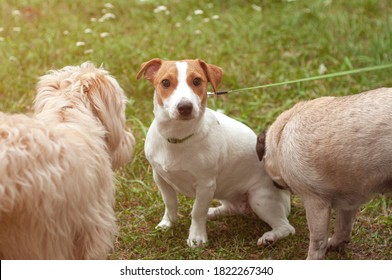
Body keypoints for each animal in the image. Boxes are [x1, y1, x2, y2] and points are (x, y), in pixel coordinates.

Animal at [136, 58, 292, 247]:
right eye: (165, 82)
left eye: (197, 81)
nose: (185, 107)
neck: (178, 138)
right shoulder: (160, 177)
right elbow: (170, 203)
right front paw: (168, 223)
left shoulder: (206, 185)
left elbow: (198, 211)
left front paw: (196, 237)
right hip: (225, 191)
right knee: (230, 208)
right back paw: (213, 212)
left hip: (260, 197)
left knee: (287, 227)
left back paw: (270, 237)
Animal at [258, 88, 392, 260]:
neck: (281, 137)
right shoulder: (348, 203)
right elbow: (343, 228)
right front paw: (335, 243)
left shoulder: (315, 203)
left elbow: (317, 242)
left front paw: (312, 259)